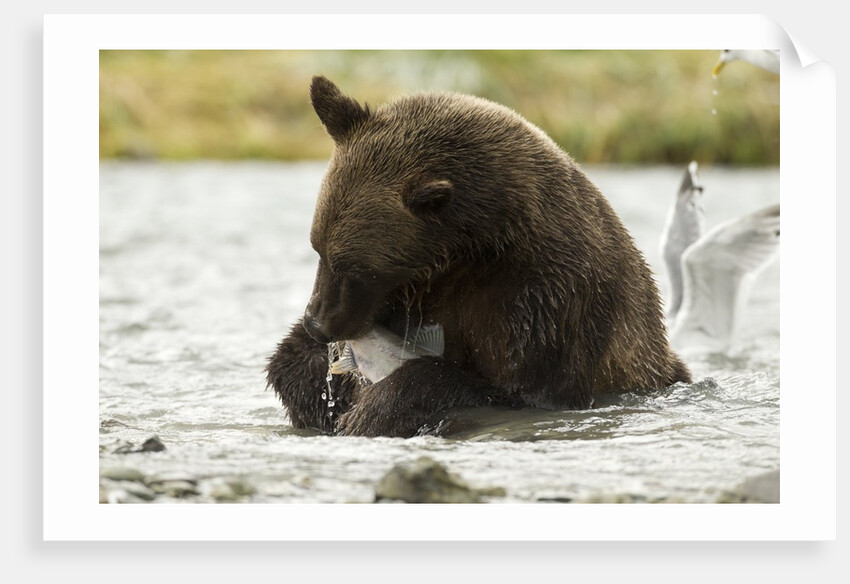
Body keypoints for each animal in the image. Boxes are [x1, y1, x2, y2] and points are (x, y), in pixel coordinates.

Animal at [266, 75, 692, 438]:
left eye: (357, 268)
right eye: (318, 248)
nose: (318, 323)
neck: (472, 251)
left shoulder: (544, 302)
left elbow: (514, 389)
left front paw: (373, 411)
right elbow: (292, 364)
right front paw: (313, 376)